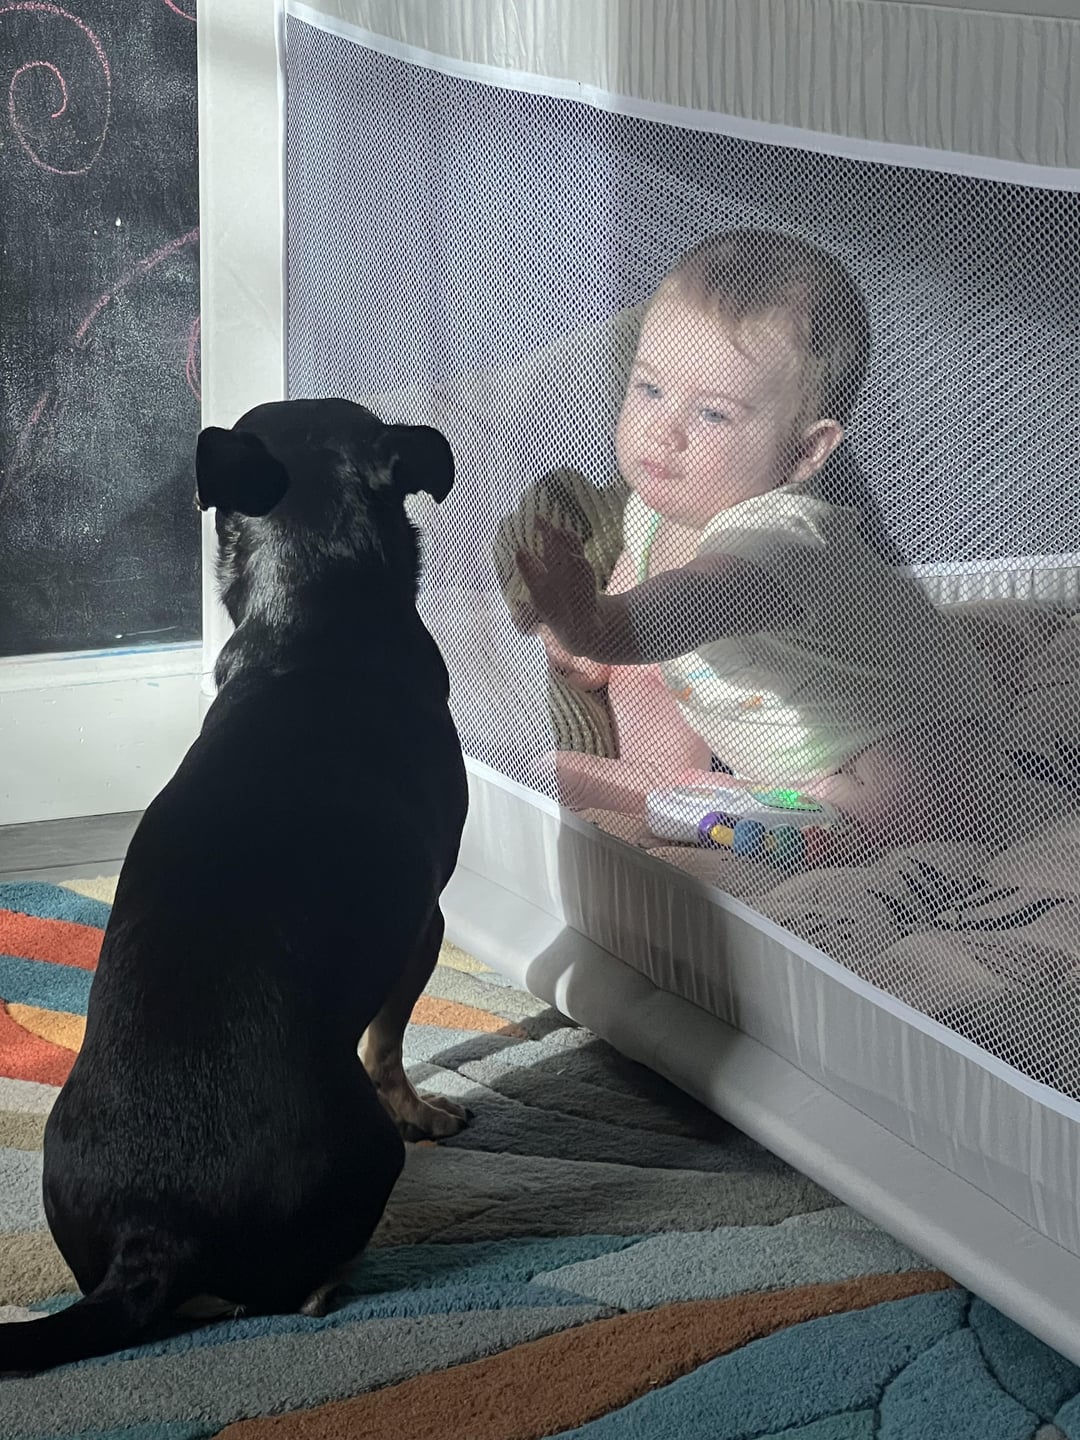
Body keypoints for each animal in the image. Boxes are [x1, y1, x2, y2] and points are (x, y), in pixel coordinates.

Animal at [0, 398, 469, 1374]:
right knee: (291, 1287)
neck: (313, 625)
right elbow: (389, 1042)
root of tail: (153, 1236)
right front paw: (425, 1109)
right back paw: (332, 1279)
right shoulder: (426, 922)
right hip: (366, 1156)